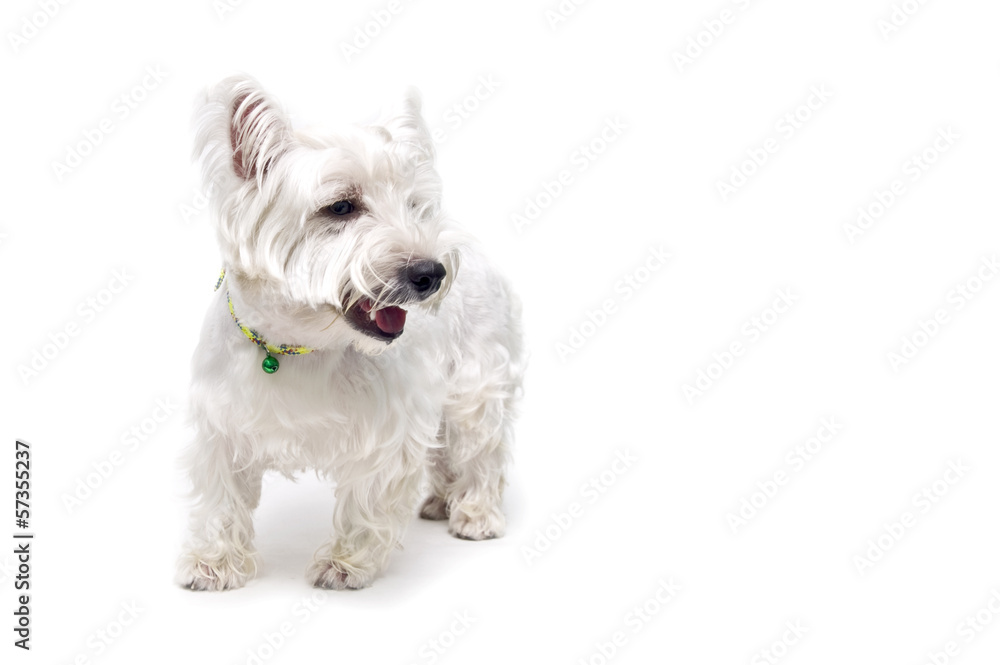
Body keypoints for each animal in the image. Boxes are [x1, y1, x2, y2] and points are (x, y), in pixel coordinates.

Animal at [177, 75, 528, 588]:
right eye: (340, 206)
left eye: (413, 206)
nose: (431, 273)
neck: (299, 345)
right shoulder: (221, 425)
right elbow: (221, 498)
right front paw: (213, 563)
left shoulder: (390, 429)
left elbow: (367, 501)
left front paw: (344, 565)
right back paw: (440, 501)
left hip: (476, 384)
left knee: (480, 449)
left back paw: (475, 513)